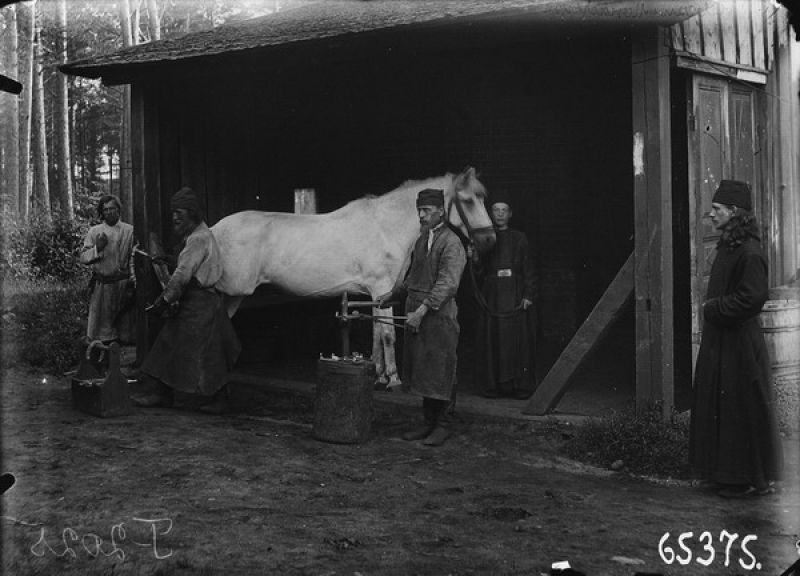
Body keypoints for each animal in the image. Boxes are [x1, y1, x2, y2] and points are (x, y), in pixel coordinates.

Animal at [209, 164, 496, 384]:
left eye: (482, 198)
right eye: (468, 200)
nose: (489, 241)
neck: (385, 228)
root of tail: (213, 230)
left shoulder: (378, 294)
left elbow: (377, 333)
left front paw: (378, 375)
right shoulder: (381, 287)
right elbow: (388, 334)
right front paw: (393, 379)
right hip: (230, 291)